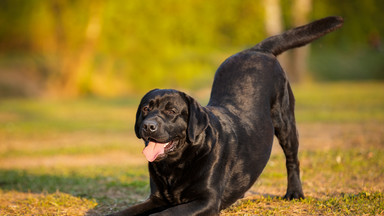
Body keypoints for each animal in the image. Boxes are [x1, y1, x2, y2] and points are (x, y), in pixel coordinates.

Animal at [109, 16, 344, 215]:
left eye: (172, 111)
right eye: (145, 109)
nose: (148, 126)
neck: (175, 166)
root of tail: (257, 49)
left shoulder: (207, 201)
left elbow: (164, 214)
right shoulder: (156, 198)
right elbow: (127, 211)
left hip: (285, 120)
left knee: (292, 159)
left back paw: (294, 192)